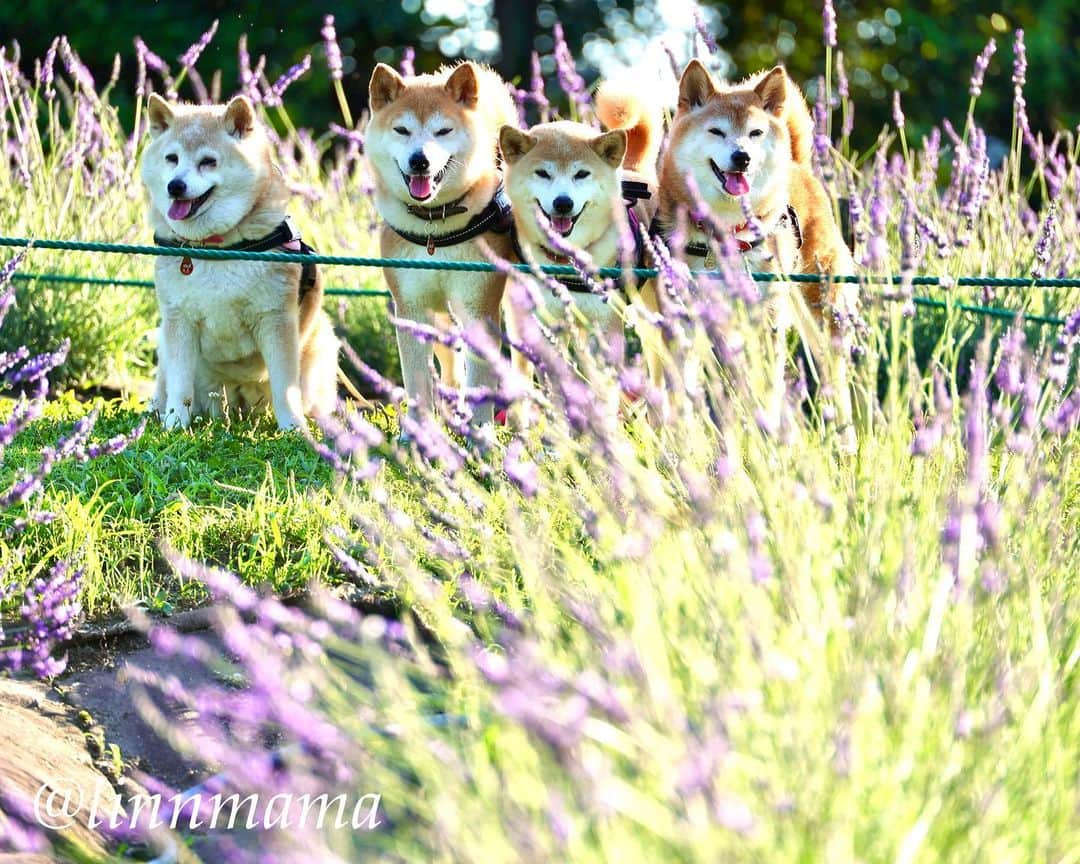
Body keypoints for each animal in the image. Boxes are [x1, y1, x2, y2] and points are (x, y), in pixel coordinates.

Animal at [141, 95, 336, 432]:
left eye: (208, 161)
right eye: (172, 158)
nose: (175, 186)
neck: (215, 247)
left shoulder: (275, 320)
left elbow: (286, 389)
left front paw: (293, 429)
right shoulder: (179, 320)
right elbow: (179, 386)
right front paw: (175, 424)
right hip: (169, 348)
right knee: (167, 386)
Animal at [365, 60, 520, 427]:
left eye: (443, 131)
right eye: (402, 130)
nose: (419, 160)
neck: (434, 229)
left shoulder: (479, 308)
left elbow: (480, 381)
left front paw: (481, 432)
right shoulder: (411, 308)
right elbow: (418, 381)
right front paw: (418, 432)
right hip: (439, 316)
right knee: (450, 368)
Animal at [494, 77, 656, 367]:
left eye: (581, 174)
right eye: (542, 173)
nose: (563, 203)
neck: (565, 262)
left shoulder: (606, 323)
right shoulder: (538, 324)